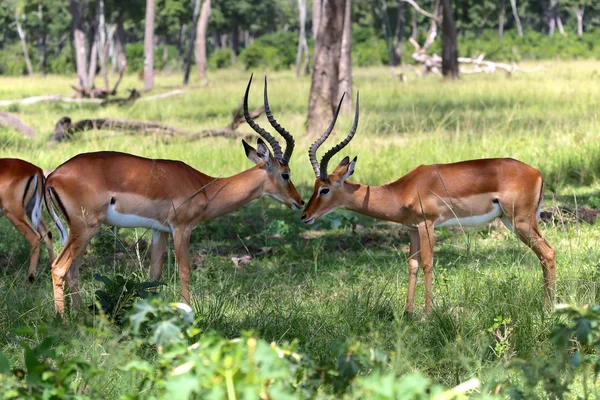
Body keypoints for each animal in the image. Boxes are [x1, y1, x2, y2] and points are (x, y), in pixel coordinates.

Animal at [45, 76, 304, 316]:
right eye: (285, 174)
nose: (300, 202)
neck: (204, 185)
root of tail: (53, 176)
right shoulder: (181, 228)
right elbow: (185, 271)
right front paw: (187, 314)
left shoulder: (159, 231)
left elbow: (154, 275)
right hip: (85, 228)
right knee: (59, 267)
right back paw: (63, 319)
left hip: (80, 232)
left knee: (73, 270)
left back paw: (81, 316)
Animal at [302, 95, 556, 314]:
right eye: (314, 186)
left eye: (325, 189)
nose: (305, 215)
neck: (401, 190)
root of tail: (537, 172)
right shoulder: (412, 229)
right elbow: (412, 265)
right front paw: (408, 312)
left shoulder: (428, 225)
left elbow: (427, 264)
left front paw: (427, 313)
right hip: (513, 221)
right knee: (545, 255)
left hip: (520, 222)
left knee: (549, 253)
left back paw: (549, 307)